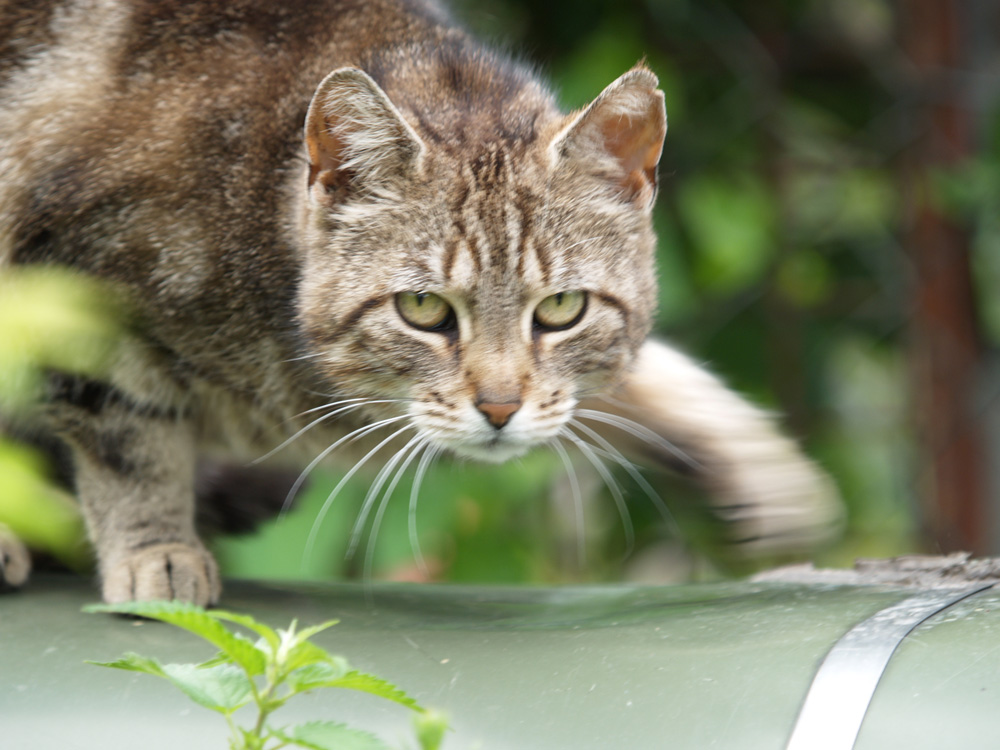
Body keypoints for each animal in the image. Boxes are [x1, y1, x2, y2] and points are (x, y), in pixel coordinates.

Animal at [0, 0, 844, 604]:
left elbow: (632, 382)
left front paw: (749, 458)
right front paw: (156, 549)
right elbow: (130, 444)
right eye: (423, 309)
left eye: (562, 308)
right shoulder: (80, 293)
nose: (499, 408)